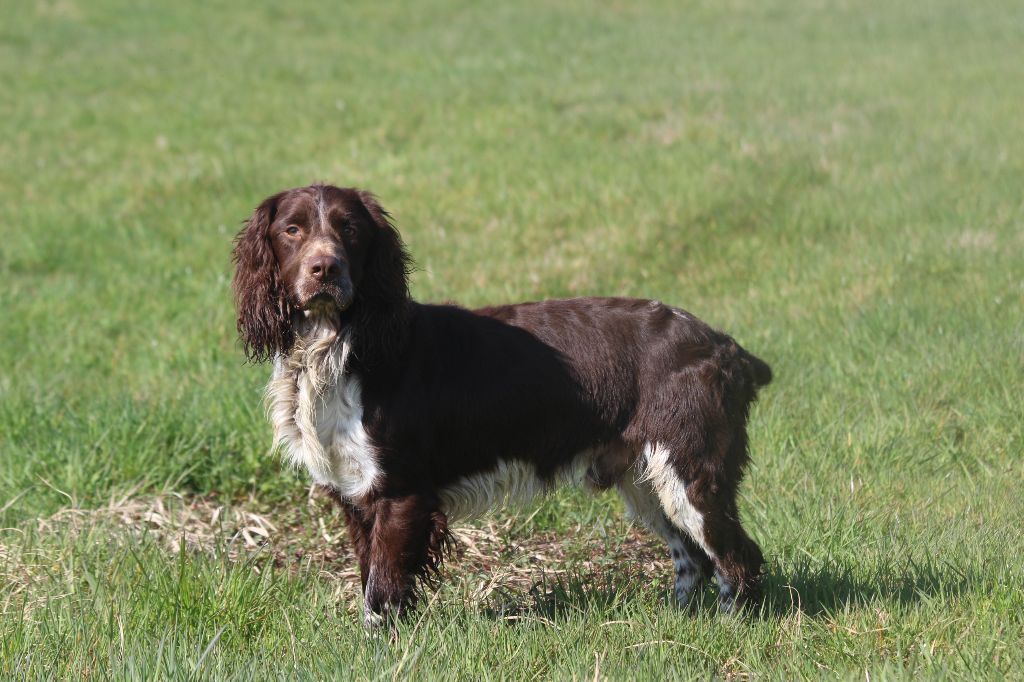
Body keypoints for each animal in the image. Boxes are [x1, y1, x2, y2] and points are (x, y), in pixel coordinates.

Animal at [232, 182, 770, 622]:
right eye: (292, 229)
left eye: (350, 228)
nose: (326, 268)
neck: (344, 348)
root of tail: (727, 347)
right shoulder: (355, 492)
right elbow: (371, 576)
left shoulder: (401, 491)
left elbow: (382, 592)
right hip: (647, 478)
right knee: (693, 559)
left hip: (690, 470)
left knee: (738, 557)